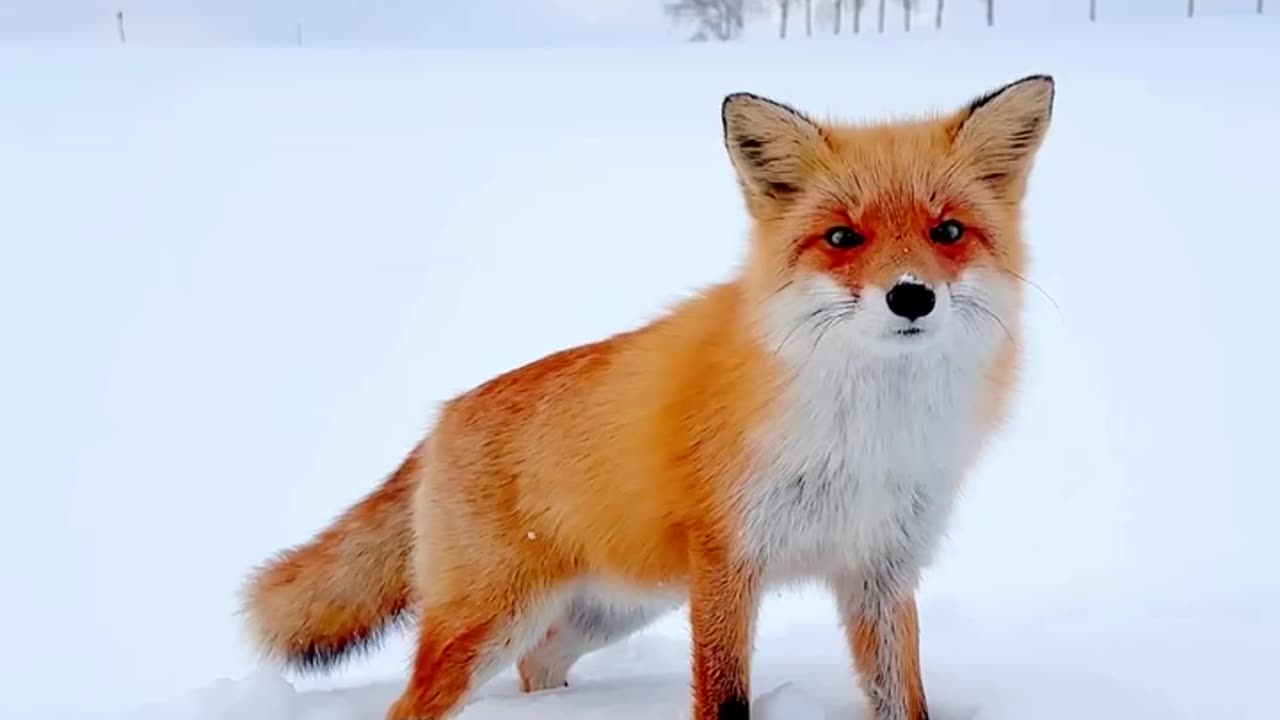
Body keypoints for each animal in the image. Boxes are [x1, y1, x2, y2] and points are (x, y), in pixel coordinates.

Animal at [244, 74, 1054, 717]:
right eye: (841, 238)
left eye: (947, 231)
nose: (910, 296)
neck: (867, 432)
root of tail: (442, 416)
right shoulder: (729, 563)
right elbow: (724, 696)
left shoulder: (879, 570)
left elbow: (903, 700)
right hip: (492, 621)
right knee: (414, 704)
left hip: (612, 610)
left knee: (540, 662)